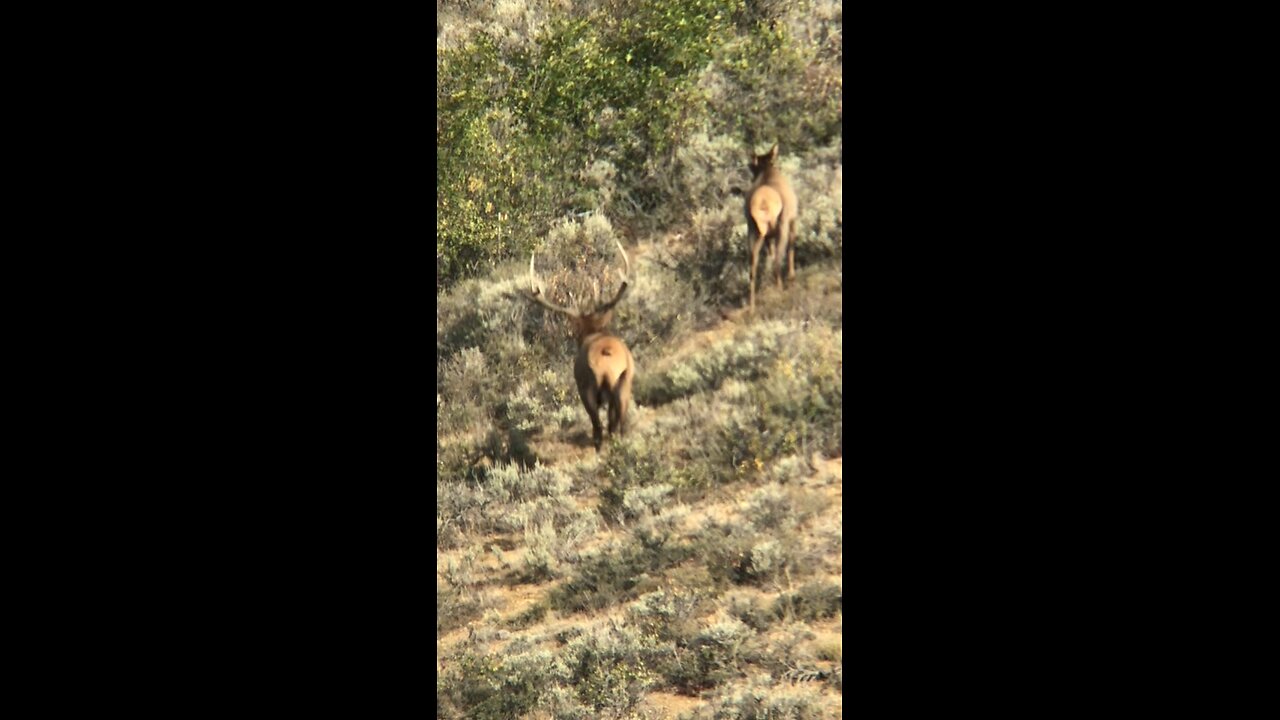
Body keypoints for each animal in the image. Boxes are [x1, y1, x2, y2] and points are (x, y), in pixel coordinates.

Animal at [525, 240, 636, 453]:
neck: (592, 332)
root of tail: (608, 364)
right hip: (624, 385)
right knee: (618, 425)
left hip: (588, 389)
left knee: (600, 428)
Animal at [744, 143, 799, 311]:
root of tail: (762, 203)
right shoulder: (792, 220)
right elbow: (791, 248)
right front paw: (792, 276)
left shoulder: (768, 236)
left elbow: (770, 252)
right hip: (781, 226)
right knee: (777, 261)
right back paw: (781, 291)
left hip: (754, 231)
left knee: (752, 269)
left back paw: (752, 307)